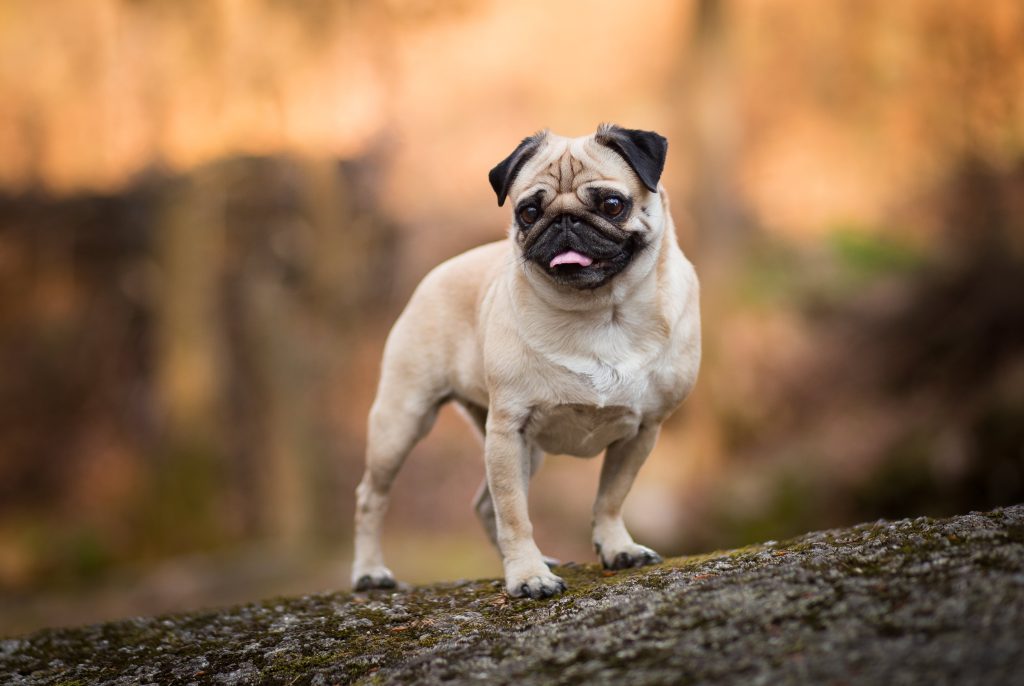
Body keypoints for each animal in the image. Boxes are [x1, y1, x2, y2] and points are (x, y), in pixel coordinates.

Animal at [350, 126, 696, 597]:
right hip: (402, 420)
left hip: (527, 451)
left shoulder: (644, 430)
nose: (565, 221)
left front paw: (617, 549)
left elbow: (610, 499)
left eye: (612, 204)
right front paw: (528, 577)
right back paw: (370, 573)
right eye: (530, 212)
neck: (600, 312)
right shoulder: (508, 429)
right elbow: (514, 513)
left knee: (483, 505)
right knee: (373, 496)